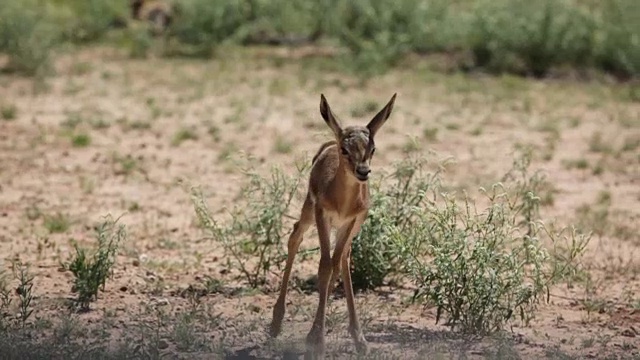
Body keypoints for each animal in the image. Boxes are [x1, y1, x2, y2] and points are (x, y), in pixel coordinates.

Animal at [268, 94, 396, 358]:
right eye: (345, 149)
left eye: (373, 148)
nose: (363, 171)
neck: (343, 202)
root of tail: (328, 142)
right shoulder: (322, 215)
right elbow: (324, 267)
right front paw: (316, 340)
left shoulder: (352, 221)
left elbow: (335, 264)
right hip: (308, 211)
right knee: (295, 237)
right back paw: (276, 324)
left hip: (350, 228)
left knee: (344, 257)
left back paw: (359, 340)